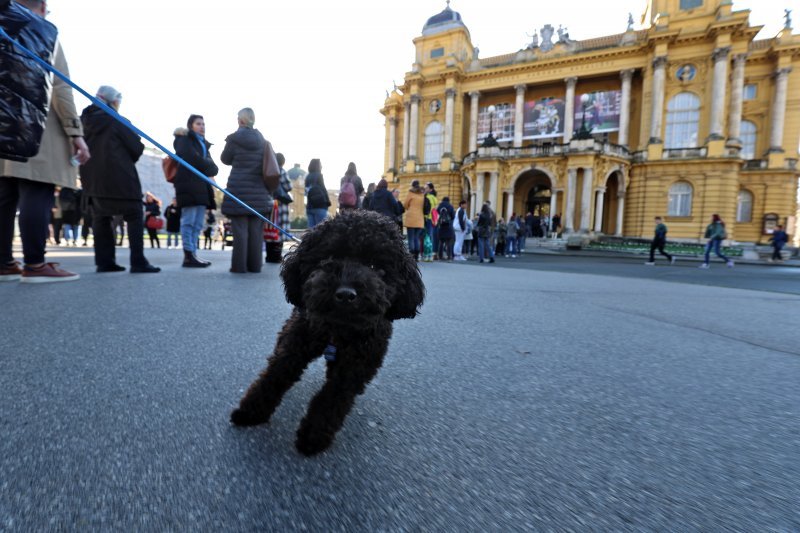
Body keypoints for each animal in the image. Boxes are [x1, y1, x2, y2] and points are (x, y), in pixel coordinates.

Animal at [231, 210, 424, 456]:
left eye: (375, 266)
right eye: (330, 257)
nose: (346, 294)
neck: (338, 329)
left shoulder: (357, 364)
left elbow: (333, 398)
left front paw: (313, 436)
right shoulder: (295, 345)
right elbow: (275, 375)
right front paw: (251, 411)